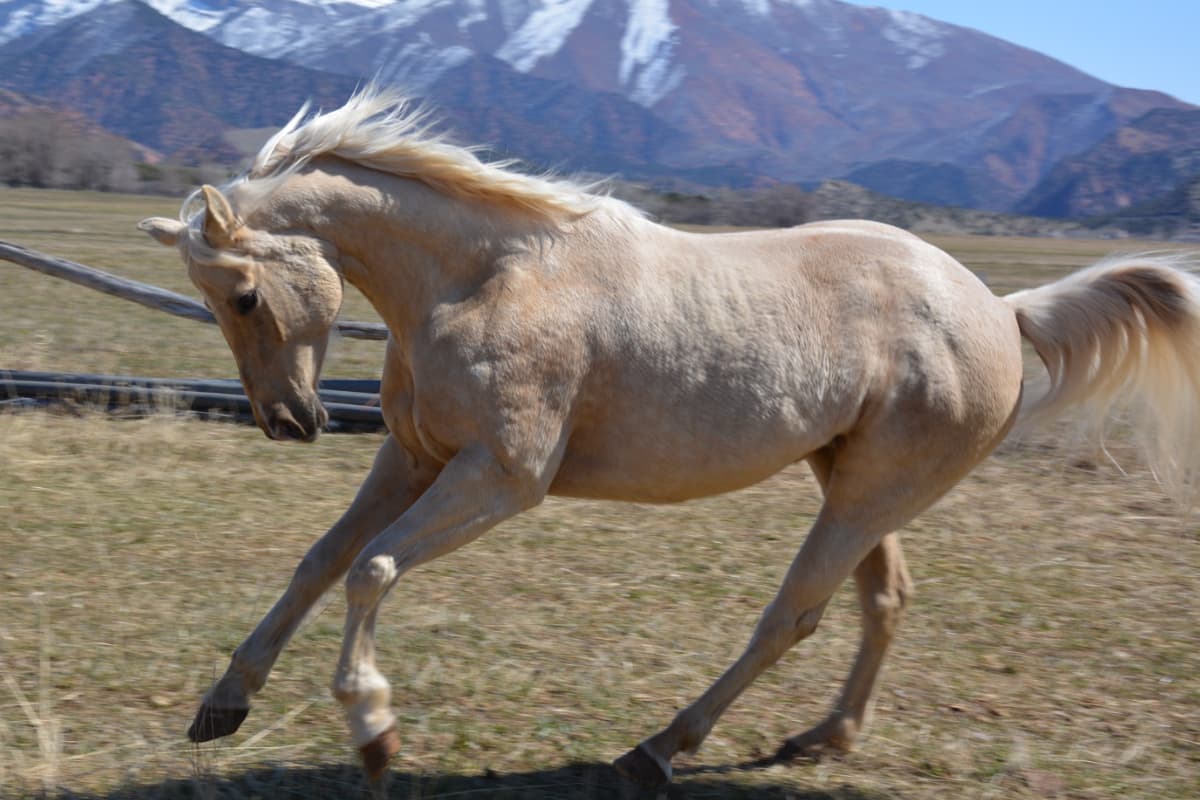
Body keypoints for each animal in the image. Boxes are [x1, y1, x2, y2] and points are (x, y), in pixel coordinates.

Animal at [138, 87, 1200, 786]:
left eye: (243, 295)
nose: (289, 422)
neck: (482, 277)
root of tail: (1002, 312)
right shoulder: (415, 457)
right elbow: (322, 560)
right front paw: (223, 704)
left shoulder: (501, 477)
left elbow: (372, 569)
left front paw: (374, 732)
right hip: (854, 480)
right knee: (883, 600)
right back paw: (824, 739)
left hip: (868, 494)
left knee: (793, 616)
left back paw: (658, 749)